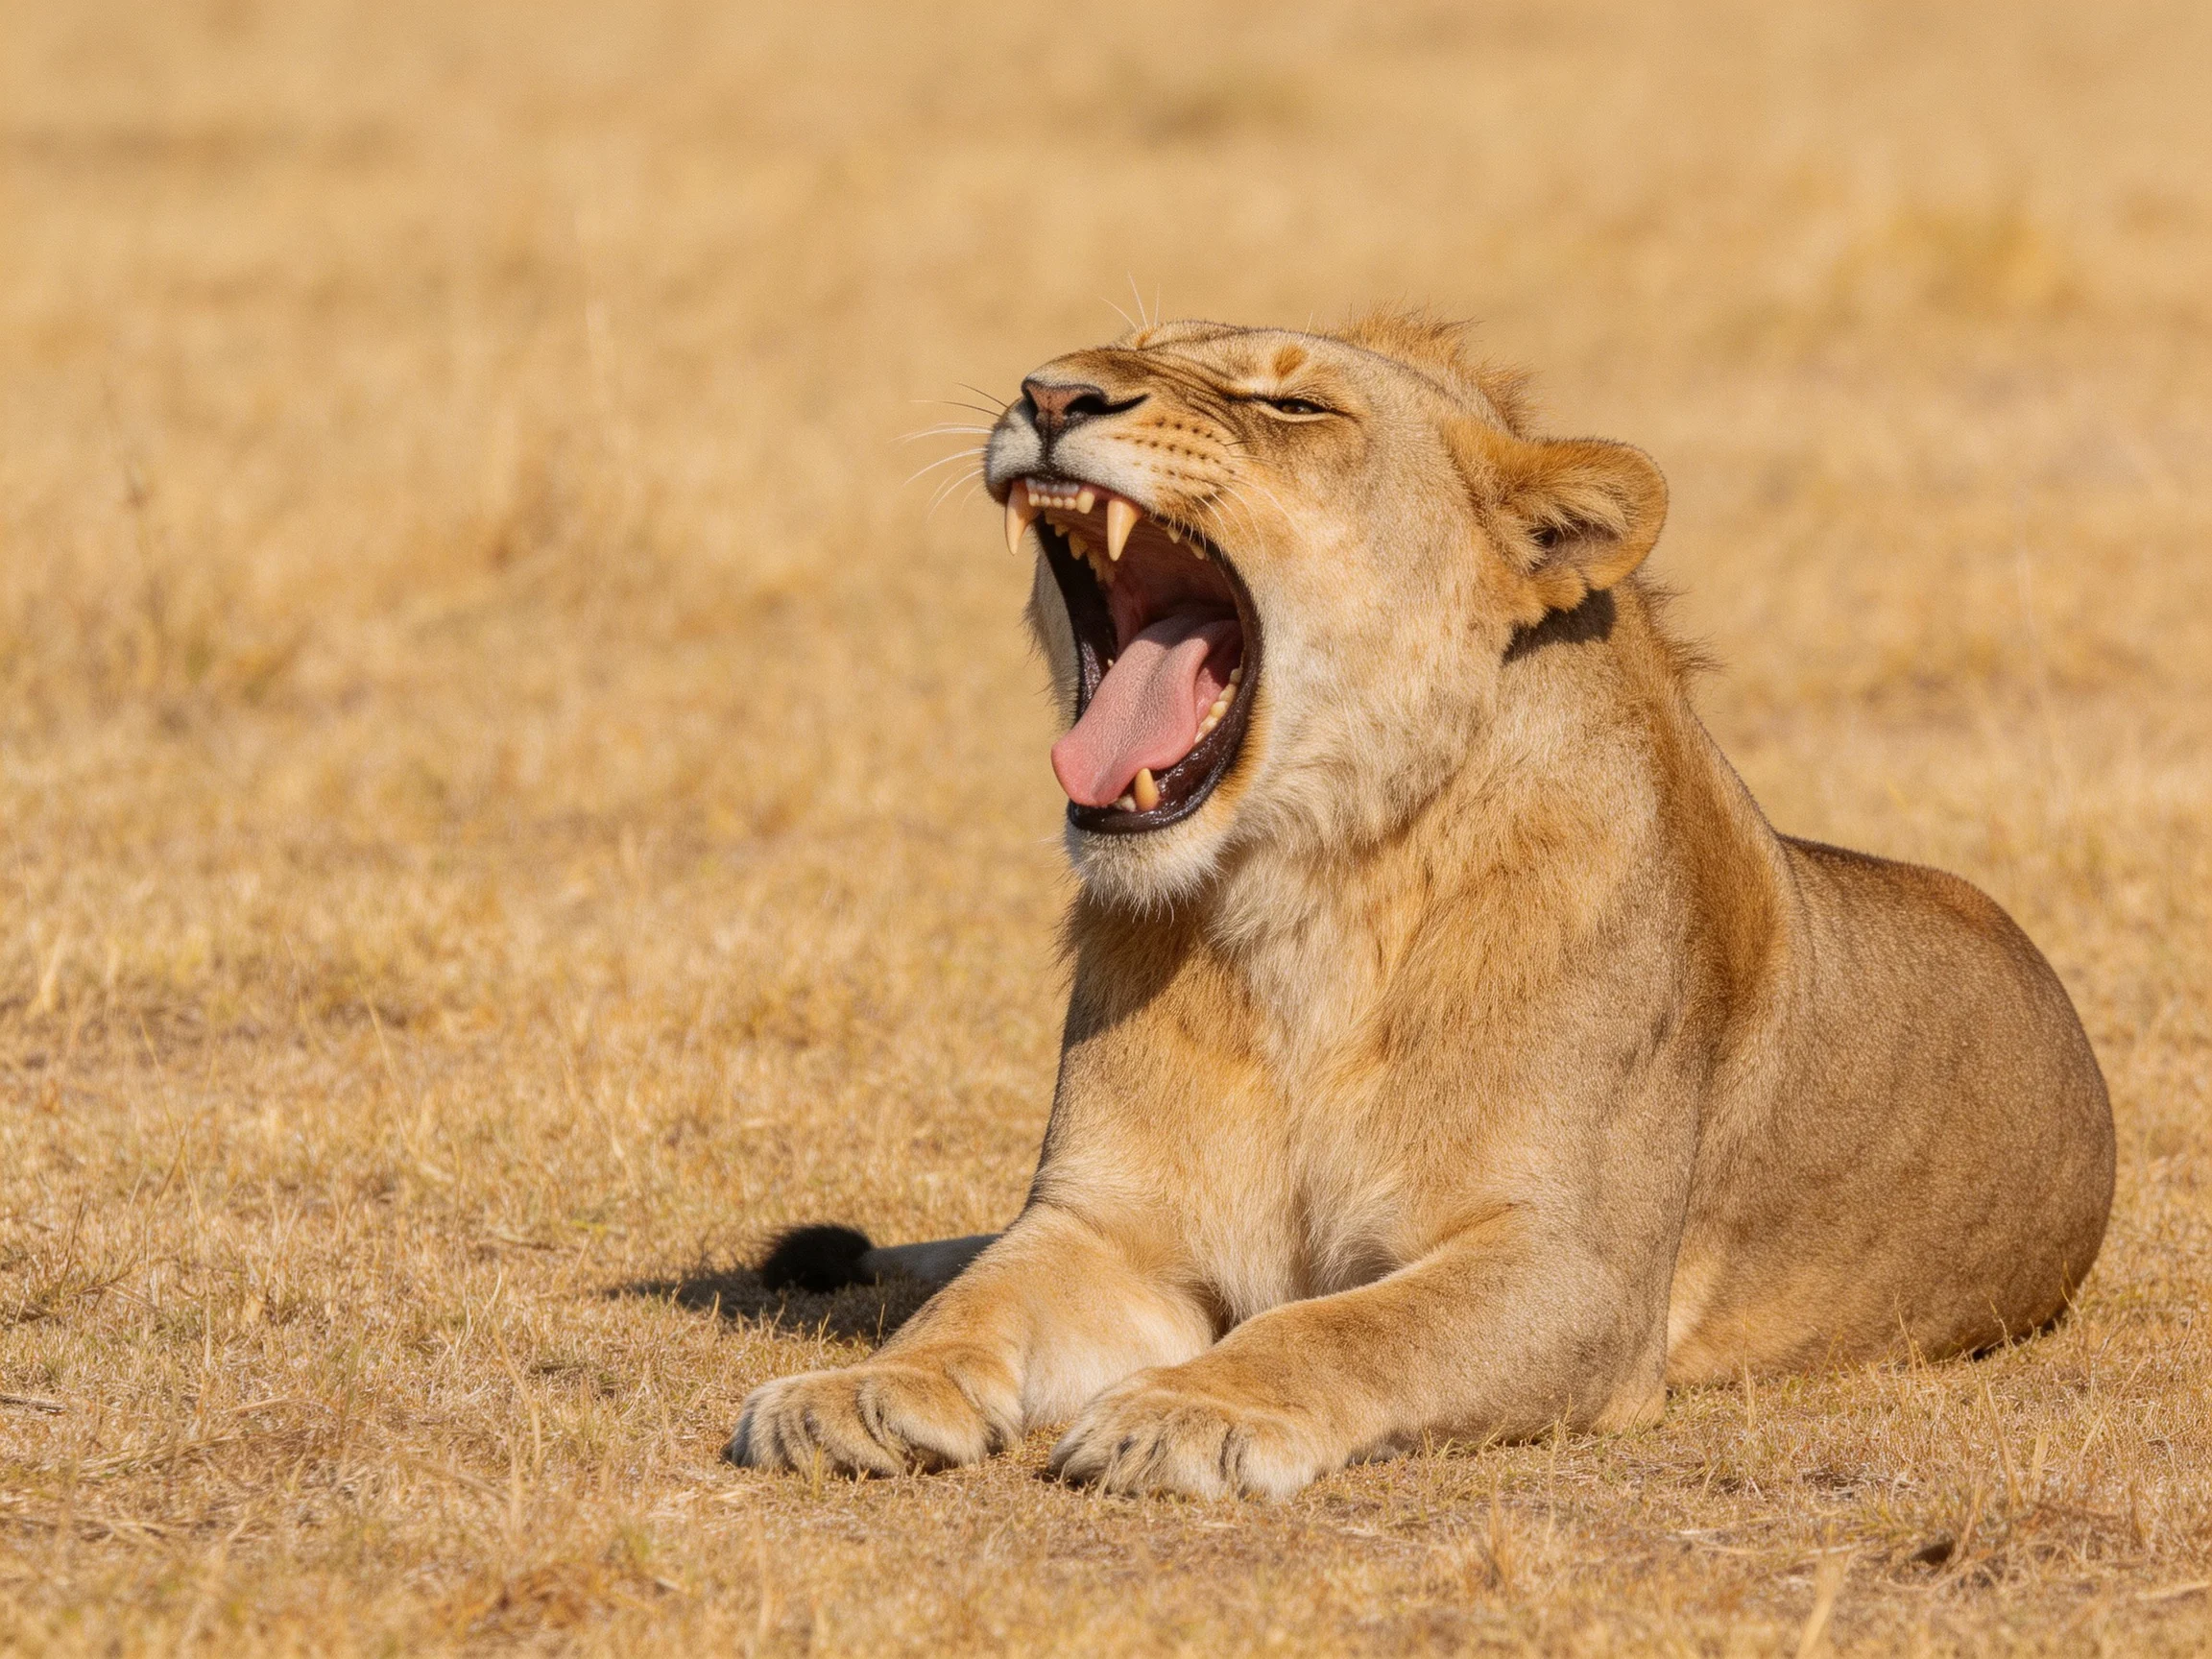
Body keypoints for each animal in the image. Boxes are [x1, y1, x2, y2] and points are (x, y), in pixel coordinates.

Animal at [726, 314, 2115, 1499]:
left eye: (1290, 403)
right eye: (1118, 347)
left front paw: (1190, 1411)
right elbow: (972, 1303)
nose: (1050, 392)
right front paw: (856, 1392)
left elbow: (1343, 1327)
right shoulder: (1105, 1227)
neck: (1303, 908)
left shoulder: (1572, 1272)